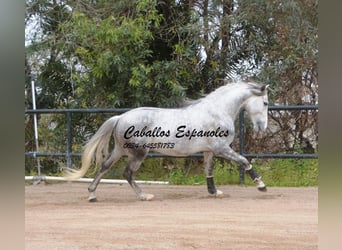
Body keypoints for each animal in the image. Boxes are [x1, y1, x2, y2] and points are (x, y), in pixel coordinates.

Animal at [67, 82, 270, 201]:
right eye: (266, 103)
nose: (262, 128)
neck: (218, 111)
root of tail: (121, 117)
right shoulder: (222, 148)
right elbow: (244, 161)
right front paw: (261, 186)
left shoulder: (209, 150)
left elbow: (208, 170)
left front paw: (214, 192)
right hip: (139, 153)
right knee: (127, 173)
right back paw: (144, 196)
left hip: (120, 150)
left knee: (105, 167)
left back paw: (92, 194)